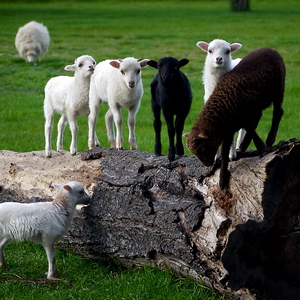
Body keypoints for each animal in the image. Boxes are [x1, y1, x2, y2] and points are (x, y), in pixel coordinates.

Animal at [185, 48, 286, 191]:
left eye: (202, 149)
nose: (207, 164)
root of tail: (270, 49)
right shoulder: (228, 129)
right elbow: (225, 152)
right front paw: (222, 180)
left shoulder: (243, 116)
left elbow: (250, 129)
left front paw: (262, 149)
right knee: (260, 116)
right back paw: (243, 145)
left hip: (278, 88)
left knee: (277, 112)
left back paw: (269, 139)